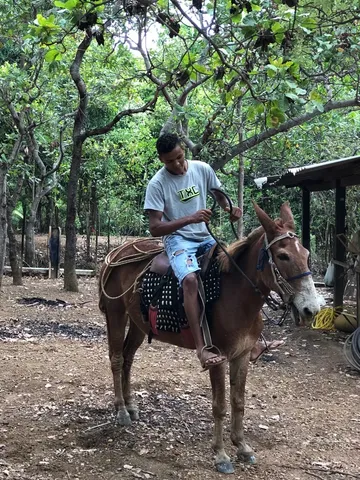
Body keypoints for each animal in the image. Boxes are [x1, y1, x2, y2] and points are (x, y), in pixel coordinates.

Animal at [98, 202, 320, 472]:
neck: (237, 295)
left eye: (306, 254)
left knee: (128, 358)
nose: (311, 309)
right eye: (283, 256)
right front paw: (221, 455)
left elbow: (238, 401)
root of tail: (117, 252)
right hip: (116, 314)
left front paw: (242, 446)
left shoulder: (242, 355)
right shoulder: (219, 357)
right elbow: (220, 406)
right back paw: (121, 410)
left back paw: (131, 406)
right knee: (117, 358)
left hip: (139, 323)